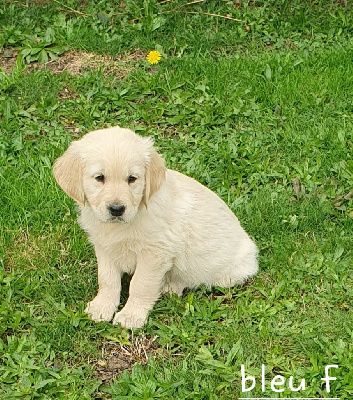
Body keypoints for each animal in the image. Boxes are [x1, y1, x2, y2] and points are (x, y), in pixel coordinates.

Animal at [54, 127, 258, 328]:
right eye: (99, 178)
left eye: (132, 179)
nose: (117, 209)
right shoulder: (105, 248)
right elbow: (107, 279)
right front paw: (101, 306)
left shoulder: (154, 254)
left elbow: (140, 284)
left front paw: (131, 315)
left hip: (229, 272)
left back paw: (171, 285)